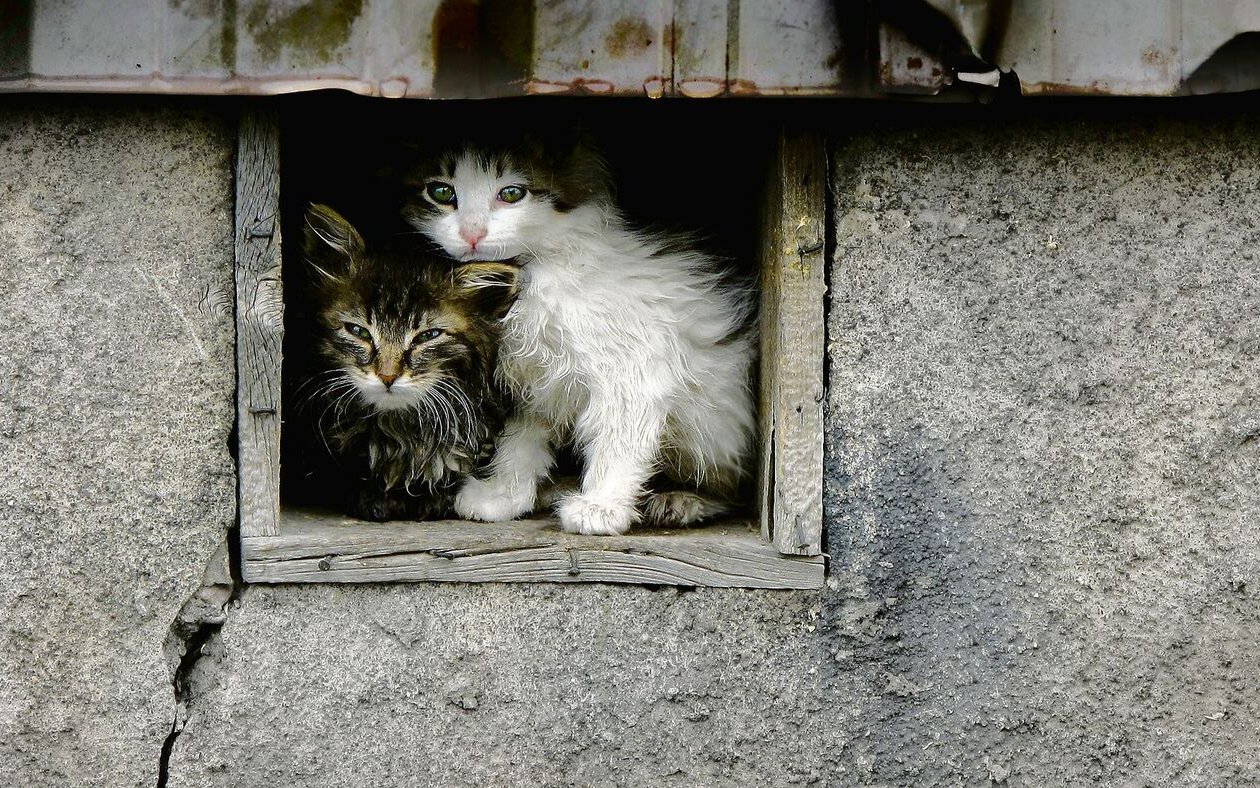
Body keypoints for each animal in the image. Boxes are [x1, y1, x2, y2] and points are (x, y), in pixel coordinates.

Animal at [400, 129, 756, 534]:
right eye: (442, 192)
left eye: (512, 193)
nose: (472, 233)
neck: (522, 278)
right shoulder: (532, 384)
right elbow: (520, 443)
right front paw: (503, 495)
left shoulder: (634, 369)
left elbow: (617, 441)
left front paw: (602, 506)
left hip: (717, 419)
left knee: (733, 486)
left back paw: (682, 500)